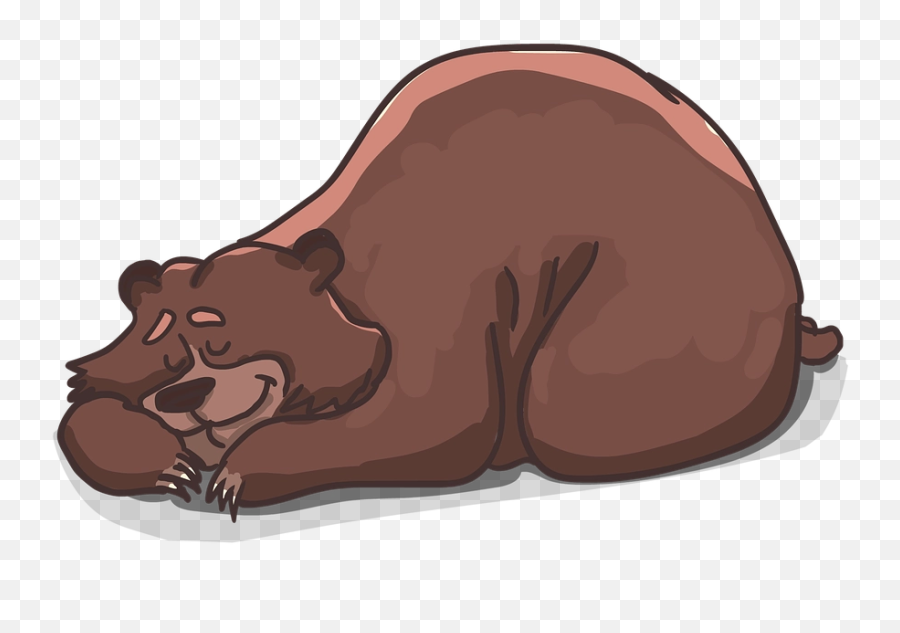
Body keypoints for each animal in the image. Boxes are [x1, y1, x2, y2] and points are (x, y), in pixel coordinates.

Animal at [58, 44, 843, 521]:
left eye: (219, 337)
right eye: (163, 349)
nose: (184, 398)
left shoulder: (439, 297)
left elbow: (426, 420)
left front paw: (238, 473)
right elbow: (83, 406)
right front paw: (168, 464)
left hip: (659, 307)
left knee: (569, 406)